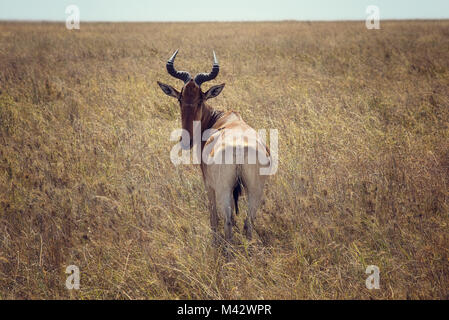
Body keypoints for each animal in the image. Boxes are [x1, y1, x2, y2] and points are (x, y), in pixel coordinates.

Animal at [156, 50, 272, 250]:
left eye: (200, 99)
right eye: (180, 98)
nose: (186, 140)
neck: (222, 118)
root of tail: (239, 149)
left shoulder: (208, 185)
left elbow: (213, 217)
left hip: (223, 189)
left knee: (226, 221)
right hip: (255, 189)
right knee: (248, 222)